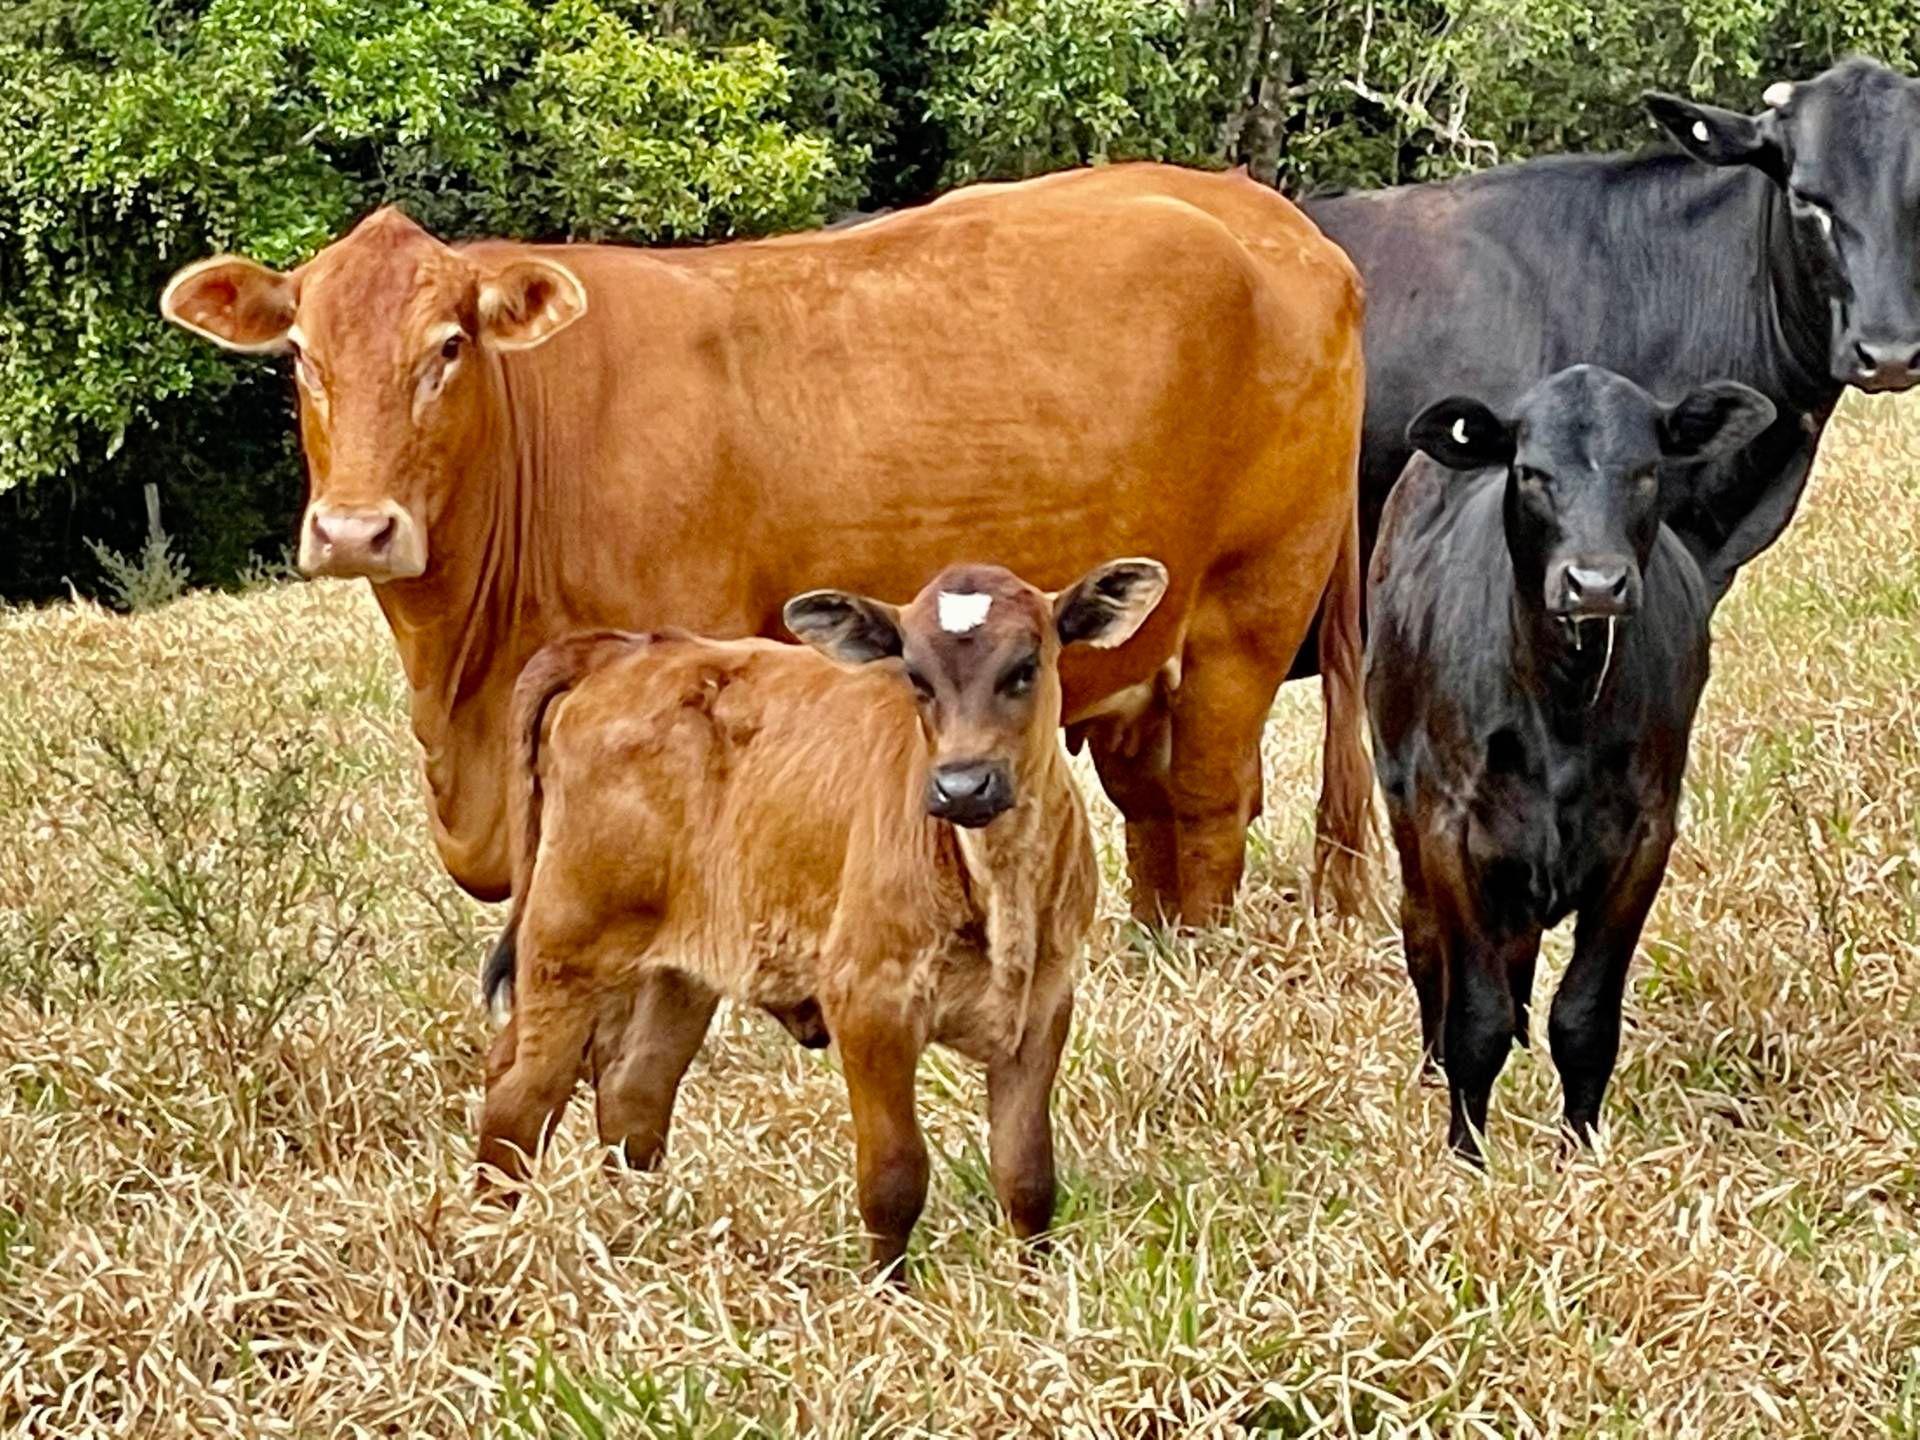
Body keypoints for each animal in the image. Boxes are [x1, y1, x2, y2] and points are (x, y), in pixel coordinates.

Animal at [158, 163, 1372, 931]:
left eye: (449, 347)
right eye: (302, 355)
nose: (356, 527)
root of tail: (1278, 223)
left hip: (1250, 605)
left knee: (1210, 800)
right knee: (1158, 807)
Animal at [476, 558, 1168, 1278]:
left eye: (1026, 666)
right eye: (915, 676)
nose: (962, 785)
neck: (997, 882)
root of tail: (627, 650)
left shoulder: (1043, 1005)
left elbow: (1026, 1175)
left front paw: (1033, 1284)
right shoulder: (869, 1005)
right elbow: (894, 1176)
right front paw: (887, 1293)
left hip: (675, 976)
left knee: (635, 1096)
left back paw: (637, 1231)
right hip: (567, 946)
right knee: (518, 1098)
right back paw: (488, 1242)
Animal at [1365, 365, 1776, 1160]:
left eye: (1645, 471)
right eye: (1531, 473)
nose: (1594, 583)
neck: (1563, 701)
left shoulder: (1646, 834)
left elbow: (1584, 1016)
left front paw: (1580, 1152)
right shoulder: (1447, 824)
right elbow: (1476, 1015)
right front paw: (1466, 1153)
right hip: (1400, 799)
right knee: (1425, 941)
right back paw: (1430, 1071)